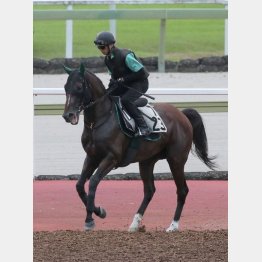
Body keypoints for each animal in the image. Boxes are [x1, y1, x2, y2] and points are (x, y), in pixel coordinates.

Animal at [62, 63, 217, 231]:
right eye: (65, 87)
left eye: (79, 87)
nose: (68, 115)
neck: (99, 120)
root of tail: (182, 115)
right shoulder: (92, 157)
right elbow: (79, 186)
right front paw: (98, 212)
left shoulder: (111, 158)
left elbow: (93, 182)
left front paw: (90, 219)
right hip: (147, 161)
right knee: (149, 191)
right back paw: (135, 223)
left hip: (176, 159)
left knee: (182, 190)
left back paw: (173, 225)